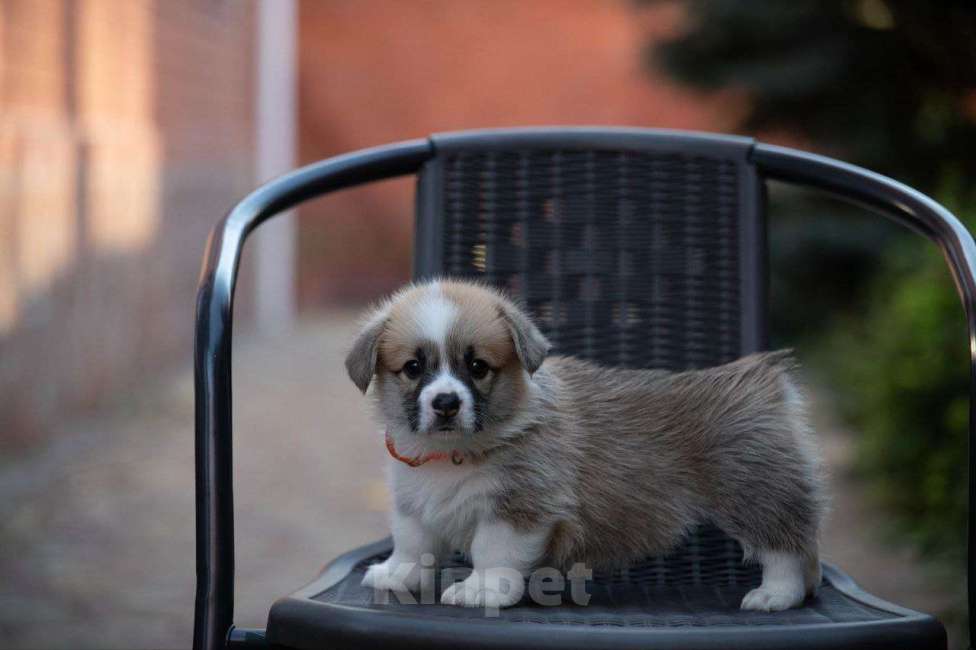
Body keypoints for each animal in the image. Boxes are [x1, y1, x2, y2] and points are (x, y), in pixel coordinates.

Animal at [344, 278, 824, 608]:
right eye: (412, 367)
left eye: (478, 366)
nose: (445, 403)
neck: (452, 454)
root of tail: (765, 380)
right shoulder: (413, 501)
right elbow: (412, 543)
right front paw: (395, 575)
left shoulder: (518, 508)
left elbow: (492, 551)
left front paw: (481, 590)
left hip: (756, 492)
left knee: (786, 549)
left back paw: (774, 596)